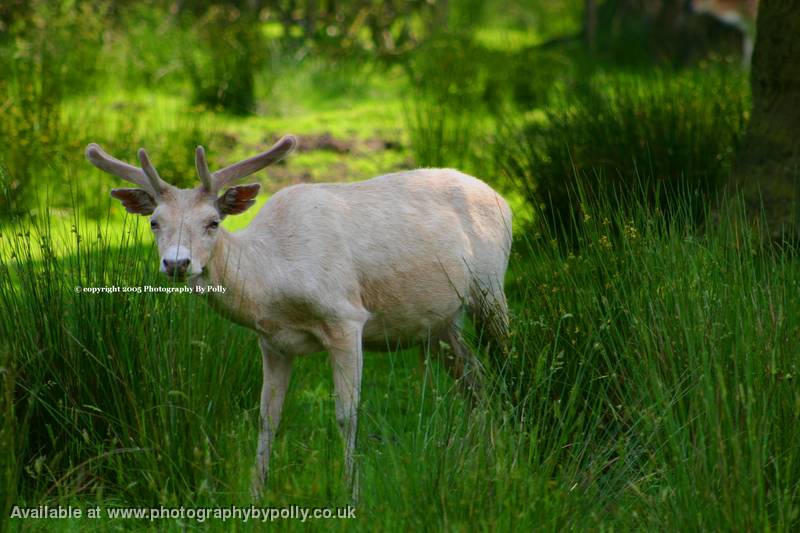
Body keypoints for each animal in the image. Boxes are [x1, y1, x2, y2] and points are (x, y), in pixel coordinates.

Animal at [84, 135, 512, 496]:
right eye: (154, 222)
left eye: (213, 222)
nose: (177, 263)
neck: (274, 283)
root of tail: (502, 198)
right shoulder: (272, 343)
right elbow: (266, 417)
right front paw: (255, 495)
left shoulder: (345, 316)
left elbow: (346, 414)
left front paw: (352, 493)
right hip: (438, 324)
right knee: (475, 379)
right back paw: (483, 459)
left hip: (490, 285)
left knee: (505, 358)